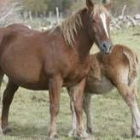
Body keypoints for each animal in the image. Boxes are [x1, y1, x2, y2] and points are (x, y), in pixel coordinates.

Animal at [0, 0, 112, 139]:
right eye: (93, 20)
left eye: (109, 20)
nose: (107, 46)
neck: (71, 48)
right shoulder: (55, 80)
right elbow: (54, 107)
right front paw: (53, 133)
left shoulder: (79, 81)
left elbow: (78, 107)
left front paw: (81, 132)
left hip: (14, 79)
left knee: (7, 98)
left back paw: (5, 128)